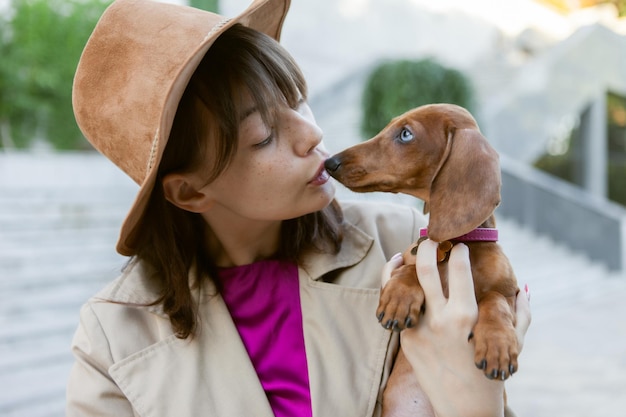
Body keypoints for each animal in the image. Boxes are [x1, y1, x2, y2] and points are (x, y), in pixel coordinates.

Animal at [322, 104, 516, 380]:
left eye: (406, 134)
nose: (330, 162)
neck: (452, 243)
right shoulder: (409, 258)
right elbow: (409, 268)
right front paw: (399, 297)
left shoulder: (511, 293)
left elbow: (496, 301)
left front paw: (498, 345)